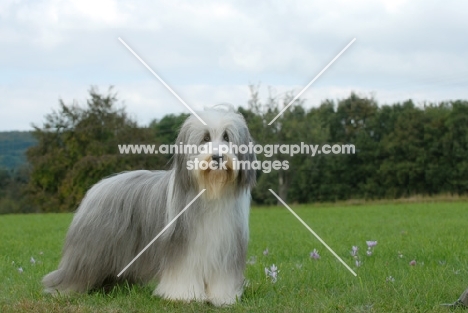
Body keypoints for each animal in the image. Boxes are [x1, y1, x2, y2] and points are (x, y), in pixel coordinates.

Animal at [42, 105, 256, 304]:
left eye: (227, 137)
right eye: (205, 138)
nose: (218, 157)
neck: (211, 192)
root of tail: (96, 188)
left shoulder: (226, 247)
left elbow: (222, 277)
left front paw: (223, 297)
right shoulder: (181, 247)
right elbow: (183, 272)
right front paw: (185, 295)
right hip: (91, 250)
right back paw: (63, 289)